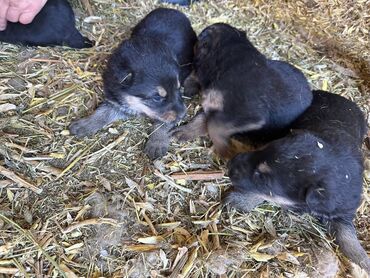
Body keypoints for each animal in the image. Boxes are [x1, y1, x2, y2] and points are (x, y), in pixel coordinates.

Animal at [69, 7, 197, 160]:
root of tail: (171, 9)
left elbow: (162, 122)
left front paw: (157, 143)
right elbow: (102, 112)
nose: (183, 114)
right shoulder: (116, 99)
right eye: (157, 97)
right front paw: (84, 125)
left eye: (179, 89)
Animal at [173, 22, 312, 159]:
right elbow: (202, 119)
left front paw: (226, 151)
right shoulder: (211, 105)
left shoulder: (247, 114)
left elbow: (214, 125)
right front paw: (180, 133)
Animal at [225, 90, 370, 272]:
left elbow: (348, 239)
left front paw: (364, 261)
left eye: (263, 179)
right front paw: (239, 200)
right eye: (264, 149)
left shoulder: (343, 213)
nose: (230, 164)